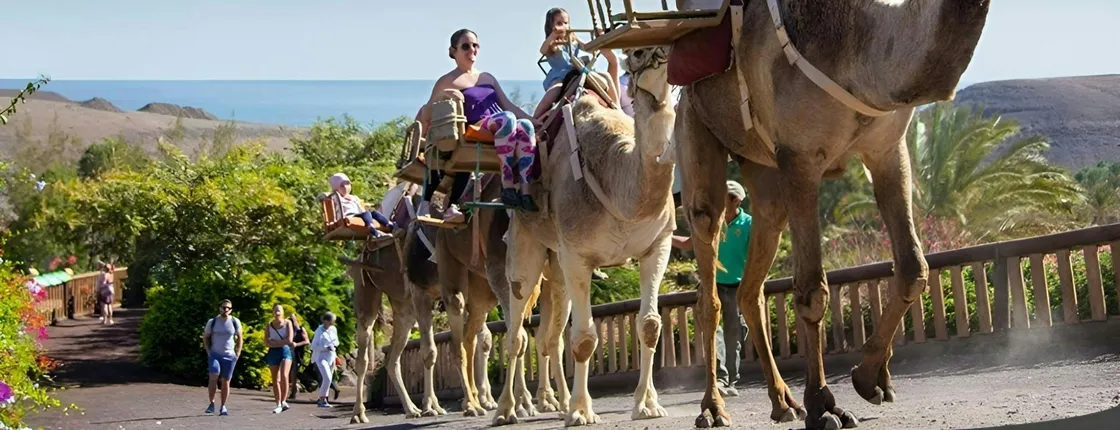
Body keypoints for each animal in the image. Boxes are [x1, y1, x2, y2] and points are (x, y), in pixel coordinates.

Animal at [501, 47, 679, 426]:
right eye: (636, 55)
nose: (660, 54)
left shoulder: (658, 245)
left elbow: (650, 325)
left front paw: (647, 404)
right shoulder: (577, 255)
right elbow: (584, 339)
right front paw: (582, 412)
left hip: (558, 268)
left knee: (550, 335)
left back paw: (554, 402)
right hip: (525, 241)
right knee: (517, 330)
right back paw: (507, 410)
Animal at [660, 0, 991, 428]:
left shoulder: (888, 148)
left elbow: (913, 268)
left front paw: (871, 379)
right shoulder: (800, 157)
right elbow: (812, 291)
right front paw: (824, 405)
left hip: (763, 173)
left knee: (753, 281)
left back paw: (783, 402)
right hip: (696, 131)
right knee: (708, 275)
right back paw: (714, 409)